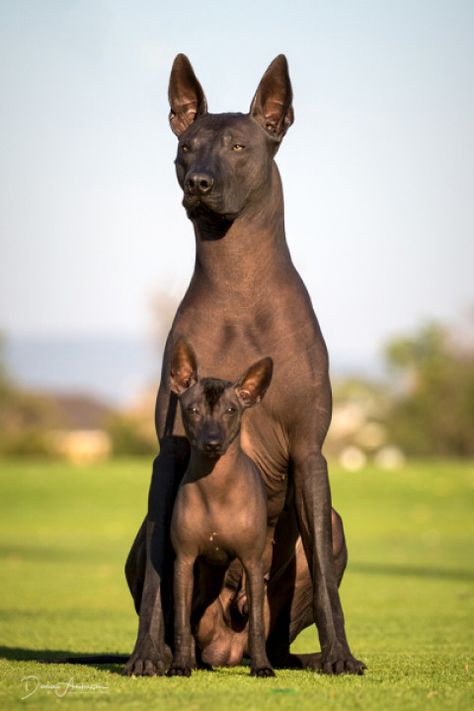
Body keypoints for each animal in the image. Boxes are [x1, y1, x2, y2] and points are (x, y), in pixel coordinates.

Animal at [169, 340, 274, 680]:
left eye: (231, 410)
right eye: (193, 410)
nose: (213, 442)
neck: (216, 489)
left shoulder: (252, 564)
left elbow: (256, 624)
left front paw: (262, 666)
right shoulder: (184, 562)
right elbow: (180, 619)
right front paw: (180, 664)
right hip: (205, 578)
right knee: (192, 616)